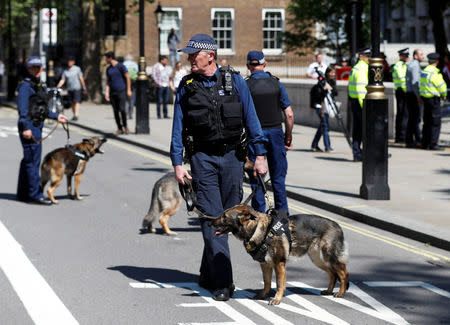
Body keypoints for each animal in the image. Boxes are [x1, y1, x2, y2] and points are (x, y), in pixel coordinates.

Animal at [209, 204, 350, 306]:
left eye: (224, 216)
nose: (209, 223)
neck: (260, 229)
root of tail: (337, 225)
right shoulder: (265, 265)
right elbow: (266, 282)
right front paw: (263, 295)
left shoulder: (279, 264)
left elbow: (279, 284)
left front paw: (277, 299)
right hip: (319, 259)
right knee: (332, 274)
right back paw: (329, 290)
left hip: (329, 258)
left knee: (343, 274)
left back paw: (341, 293)